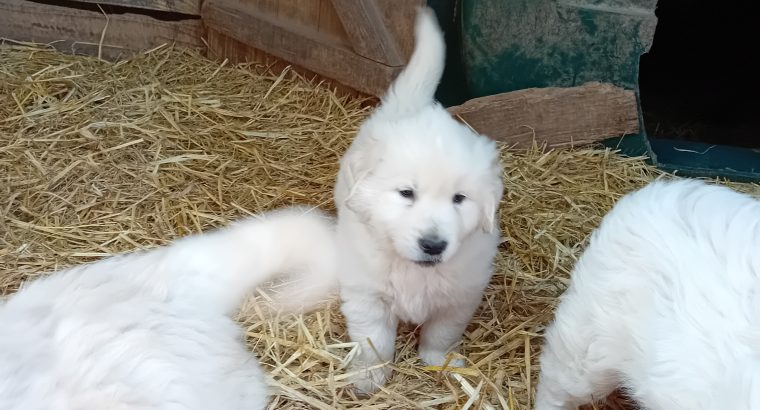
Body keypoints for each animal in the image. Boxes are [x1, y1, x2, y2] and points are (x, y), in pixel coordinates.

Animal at [334, 8, 502, 396]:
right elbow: (374, 341)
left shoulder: (459, 298)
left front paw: (441, 362)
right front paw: (369, 378)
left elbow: (441, 334)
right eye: (406, 193)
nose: (433, 245)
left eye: (459, 199)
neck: (414, 270)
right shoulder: (367, 295)